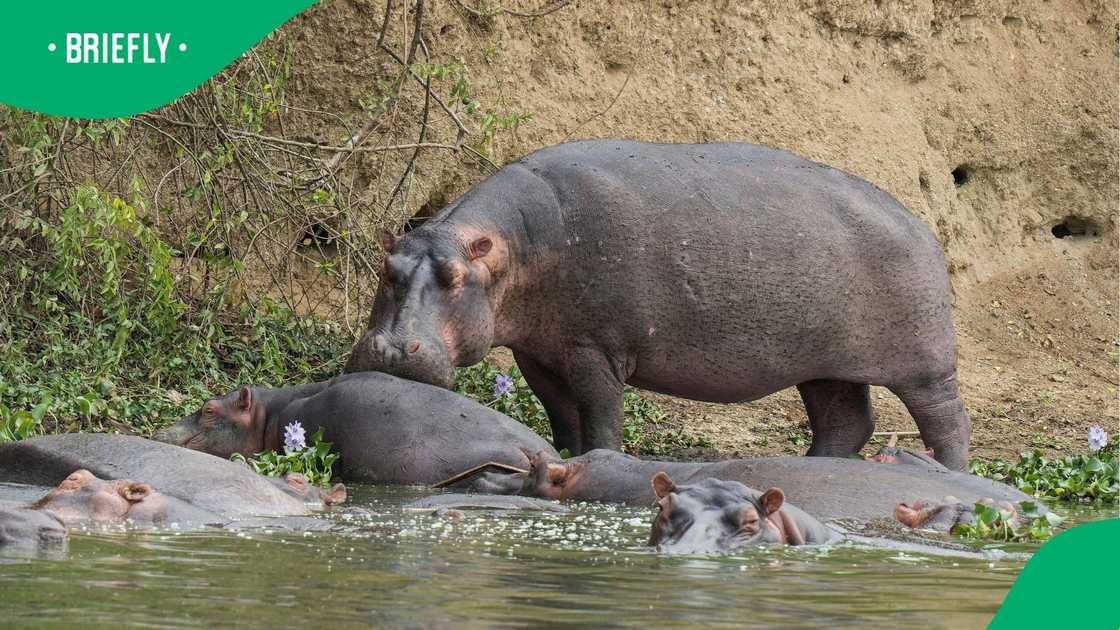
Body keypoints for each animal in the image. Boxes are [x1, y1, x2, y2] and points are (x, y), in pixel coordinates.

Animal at [344, 139, 971, 470]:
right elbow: (561, 414)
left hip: (924, 367)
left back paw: (951, 473)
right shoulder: (538, 352)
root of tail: (920, 224)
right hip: (824, 366)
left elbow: (601, 414)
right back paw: (813, 468)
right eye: (387, 270)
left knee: (947, 419)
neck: (512, 249)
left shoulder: (595, 348)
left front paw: (600, 459)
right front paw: (566, 455)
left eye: (453, 278)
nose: (391, 349)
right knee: (847, 420)